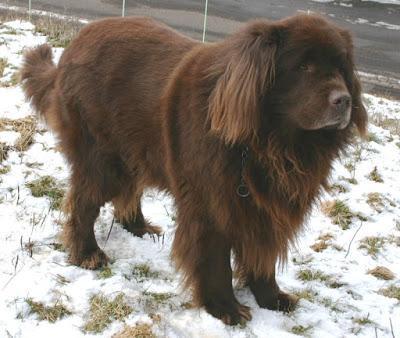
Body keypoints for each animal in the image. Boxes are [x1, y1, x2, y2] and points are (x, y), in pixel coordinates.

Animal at [21, 15, 366, 324]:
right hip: (102, 158)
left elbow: (262, 255)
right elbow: (215, 261)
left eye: (341, 68)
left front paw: (271, 298)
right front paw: (225, 308)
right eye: (304, 67)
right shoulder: (211, 205)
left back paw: (138, 227)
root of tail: (75, 43)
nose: (344, 100)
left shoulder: (264, 209)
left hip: (134, 148)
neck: (268, 143)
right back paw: (87, 253)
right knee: (84, 203)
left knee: (128, 190)